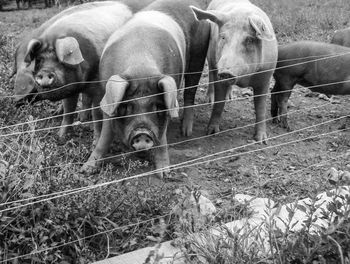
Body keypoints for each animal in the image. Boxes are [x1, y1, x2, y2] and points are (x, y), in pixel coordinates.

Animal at [18, 0, 154, 143]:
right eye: (39, 59)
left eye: (61, 60)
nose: (44, 72)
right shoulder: (70, 86)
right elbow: (68, 110)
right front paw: (60, 138)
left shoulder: (100, 88)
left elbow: (97, 114)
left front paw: (95, 142)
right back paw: (74, 117)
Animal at [81, 0, 211, 178]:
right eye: (126, 107)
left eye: (158, 106)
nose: (142, 134)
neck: (140, 66)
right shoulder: (108, 95)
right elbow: (105, 135)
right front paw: (86, 170)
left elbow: (162, 139)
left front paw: (164, 174)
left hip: (199, 55)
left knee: (190, 91)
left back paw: (186, 132)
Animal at [190, 0, 278, 142]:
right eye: (223, 37)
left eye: (249, 40)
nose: (226, 72)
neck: (244, 79)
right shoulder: (219, 74)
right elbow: (219, 103)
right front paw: (211, 132)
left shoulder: (265, 77)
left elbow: (260, 108)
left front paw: (261, 140)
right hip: (210, 57)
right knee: (211, 74)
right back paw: (209, 100)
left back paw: (230, 97)